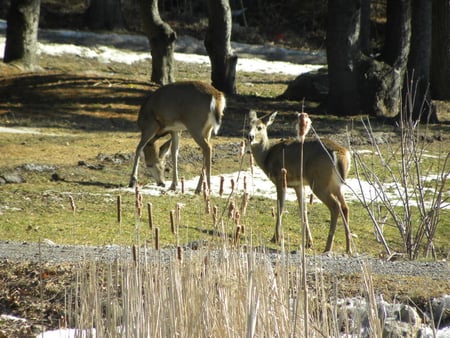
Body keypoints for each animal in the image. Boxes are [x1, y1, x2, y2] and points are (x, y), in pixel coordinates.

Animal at [246, 111, 352, 254]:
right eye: (248, 125)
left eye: (260, 127)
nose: (250, 136)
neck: (267, 156)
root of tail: (341, 154)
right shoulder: (298, 184)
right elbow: (303, 210)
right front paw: (309, 242)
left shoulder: (281, 179)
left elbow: (280, 207)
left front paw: (276, 238)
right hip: (335, 184)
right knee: (345, 207)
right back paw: (348, 248)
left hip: (319, 182)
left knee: (335, 206)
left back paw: (328, 247)